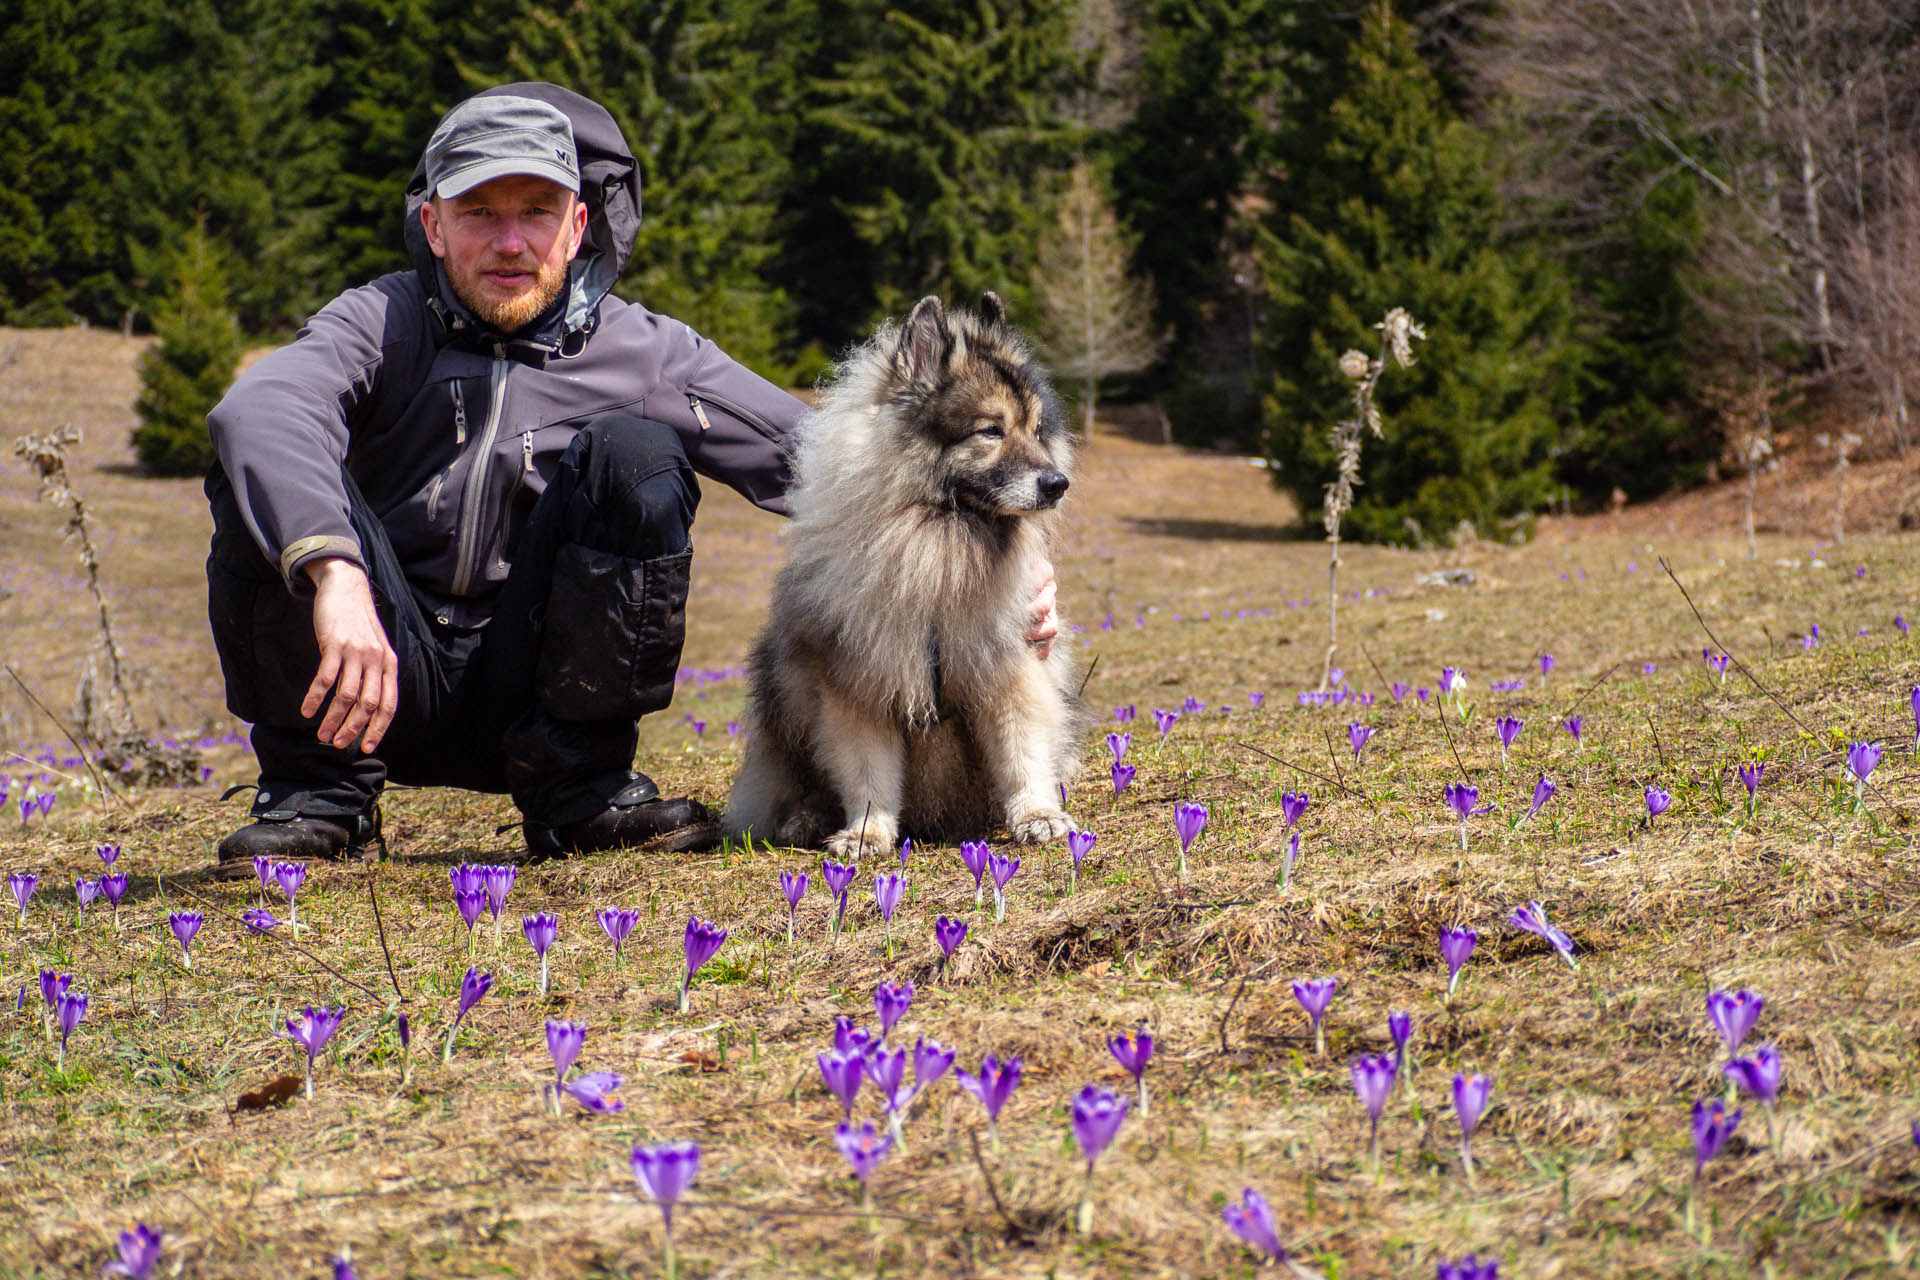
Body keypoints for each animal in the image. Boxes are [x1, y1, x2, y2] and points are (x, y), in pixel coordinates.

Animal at [721, 289, 1090, 859]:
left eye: (1035, 430)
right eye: (991, 430)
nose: (1058, 483)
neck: (936, 542)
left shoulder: (1008, 668)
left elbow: (1021, 752)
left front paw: (1038, 816)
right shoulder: (858, 683)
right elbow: (867, 773)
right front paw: (866, 832)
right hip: (779, 682)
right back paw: (804, 818)